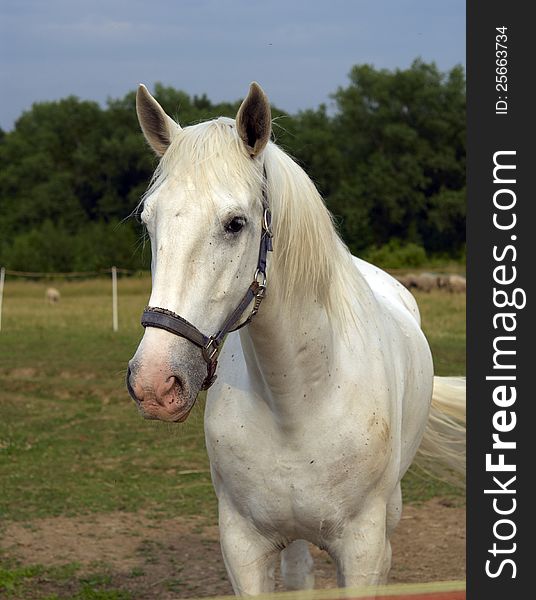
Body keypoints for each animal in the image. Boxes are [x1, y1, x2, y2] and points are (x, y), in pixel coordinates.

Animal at [126, 82, 464, 592]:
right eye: (149, 221)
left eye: (235, 223)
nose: (154, 382)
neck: (299, 398)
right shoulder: (244, 549)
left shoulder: (362, 550)